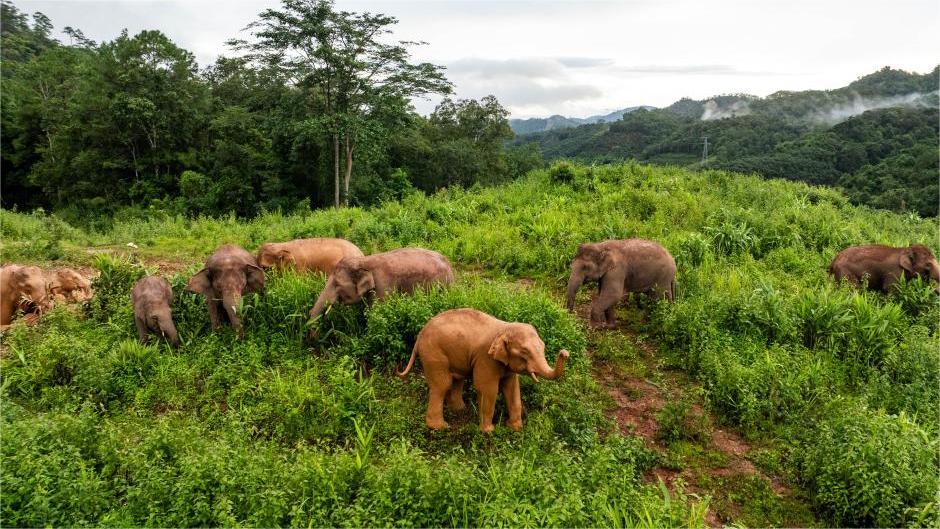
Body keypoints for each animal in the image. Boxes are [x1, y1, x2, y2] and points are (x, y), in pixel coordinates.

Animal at [397, 308, 569, 433]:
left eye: (543, 346)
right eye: (525, 351)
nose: (565, 353)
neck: (504, 328)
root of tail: (419, 335)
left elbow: (512, 388)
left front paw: (515, 429)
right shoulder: (485, 358)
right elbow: (488, 389)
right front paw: (488, 431)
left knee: (457, 379)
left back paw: (459, 409)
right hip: (433, 354)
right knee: (442, 385)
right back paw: (440, 427)